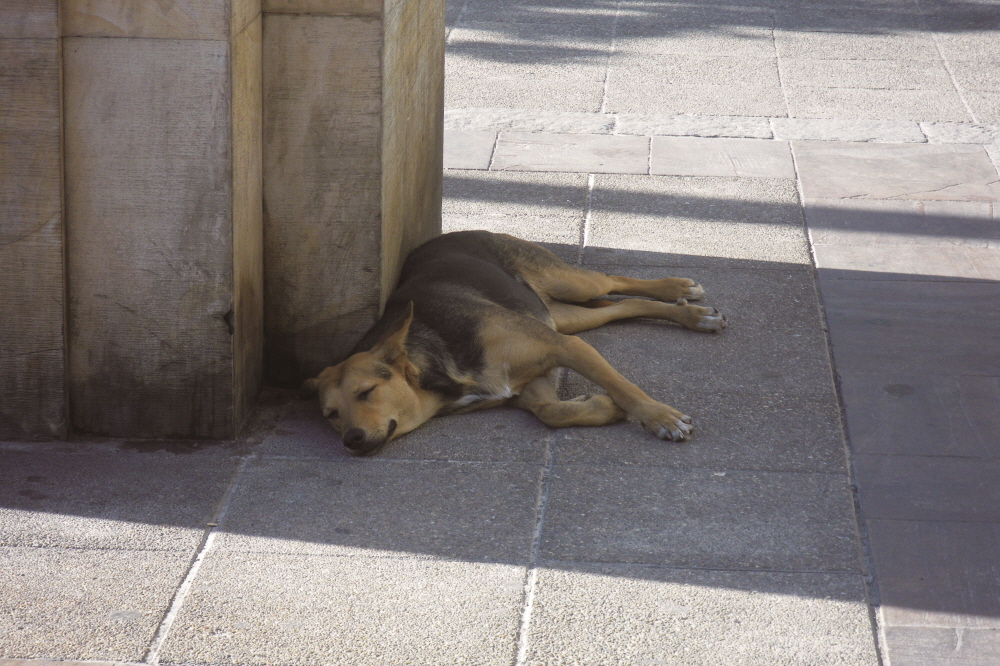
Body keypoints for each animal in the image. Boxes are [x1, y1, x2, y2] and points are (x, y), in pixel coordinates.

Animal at [298, 231, 728, 454]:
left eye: (367, 391)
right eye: (330, 415)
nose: (351, 440)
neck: (441, 369)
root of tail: (457, 232)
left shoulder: (567, 348)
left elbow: (625, 387)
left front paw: (661, 418)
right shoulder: (529, 383)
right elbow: (552, 412)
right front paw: (603, 407)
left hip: (568, 284)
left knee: (611, 279)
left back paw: (679, 289)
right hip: (565, 316)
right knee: (623, 305)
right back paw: (690, 314)